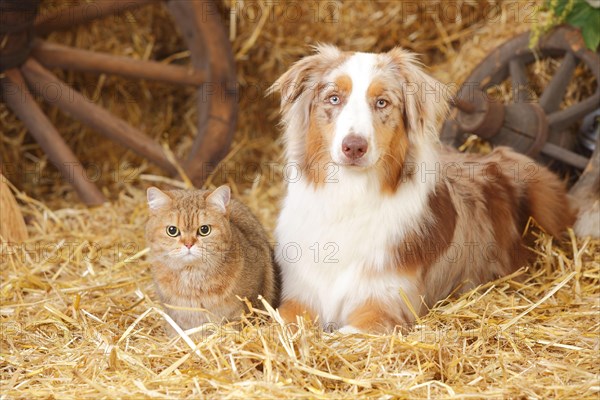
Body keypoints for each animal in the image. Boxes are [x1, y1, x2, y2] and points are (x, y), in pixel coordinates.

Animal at [270, 45, 576, 334]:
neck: (350, 197)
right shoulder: (299, 296)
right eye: (334, 98)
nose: (354, 147)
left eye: (382, 102)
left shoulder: (383, 310)